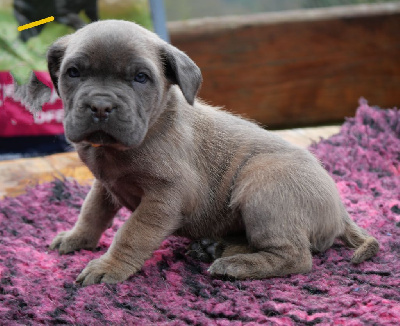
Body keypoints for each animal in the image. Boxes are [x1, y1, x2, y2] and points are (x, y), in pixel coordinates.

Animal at [48, 20, 376, 286]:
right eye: (73, 73)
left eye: (141, 77)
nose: (100, 106)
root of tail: (340, 212)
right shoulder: (104, 185)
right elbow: (91, 212)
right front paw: (76, 238)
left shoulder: (163, 199)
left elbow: (131, 234)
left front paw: (110, 266)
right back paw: (216, 248)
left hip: (262, 186)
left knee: (295, 256)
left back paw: (234, 264)